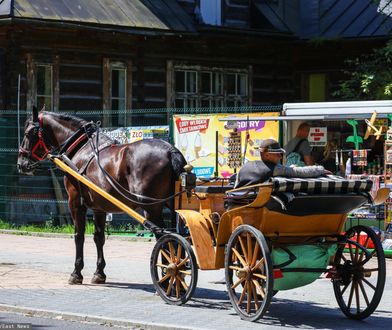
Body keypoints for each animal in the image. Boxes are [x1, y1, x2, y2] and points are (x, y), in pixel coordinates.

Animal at [19, 107, 188, 284]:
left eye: (28, 133)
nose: (21, 163)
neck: (82, 148)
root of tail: (170, 151)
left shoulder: (75, 202)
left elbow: (79, 236)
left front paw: (76, 273)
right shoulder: (99, 208)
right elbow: (99, 237)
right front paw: (99, 273)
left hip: (152, 208)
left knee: (165, 240)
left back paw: (167, 276)